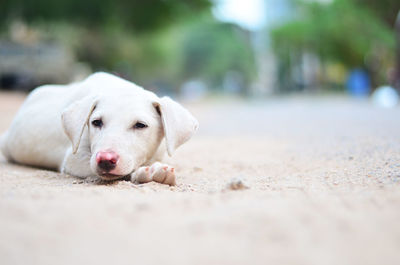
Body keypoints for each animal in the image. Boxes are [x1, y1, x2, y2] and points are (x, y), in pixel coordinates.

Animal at [0, 71, 199, 185]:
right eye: (96, 122)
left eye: (140, 125)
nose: (105, 160)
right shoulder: (74, 159)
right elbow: (124, 172)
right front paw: (148, 173)